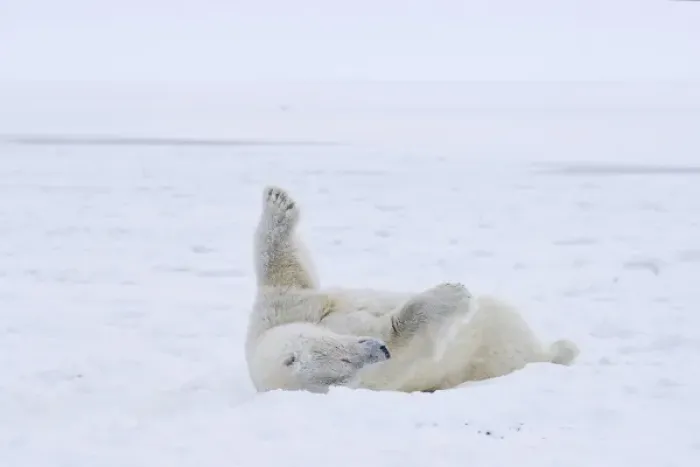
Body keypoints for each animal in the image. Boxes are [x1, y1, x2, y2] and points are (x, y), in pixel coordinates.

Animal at [245, 186, 579, 394]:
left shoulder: (283, 311)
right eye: (342, 370)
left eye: (339, 357)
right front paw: (453, 294)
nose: (378, 349)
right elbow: (403, 335)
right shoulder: (380, 374)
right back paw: (562, 349)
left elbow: (287, 273)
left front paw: (278, 203)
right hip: (497, 349)